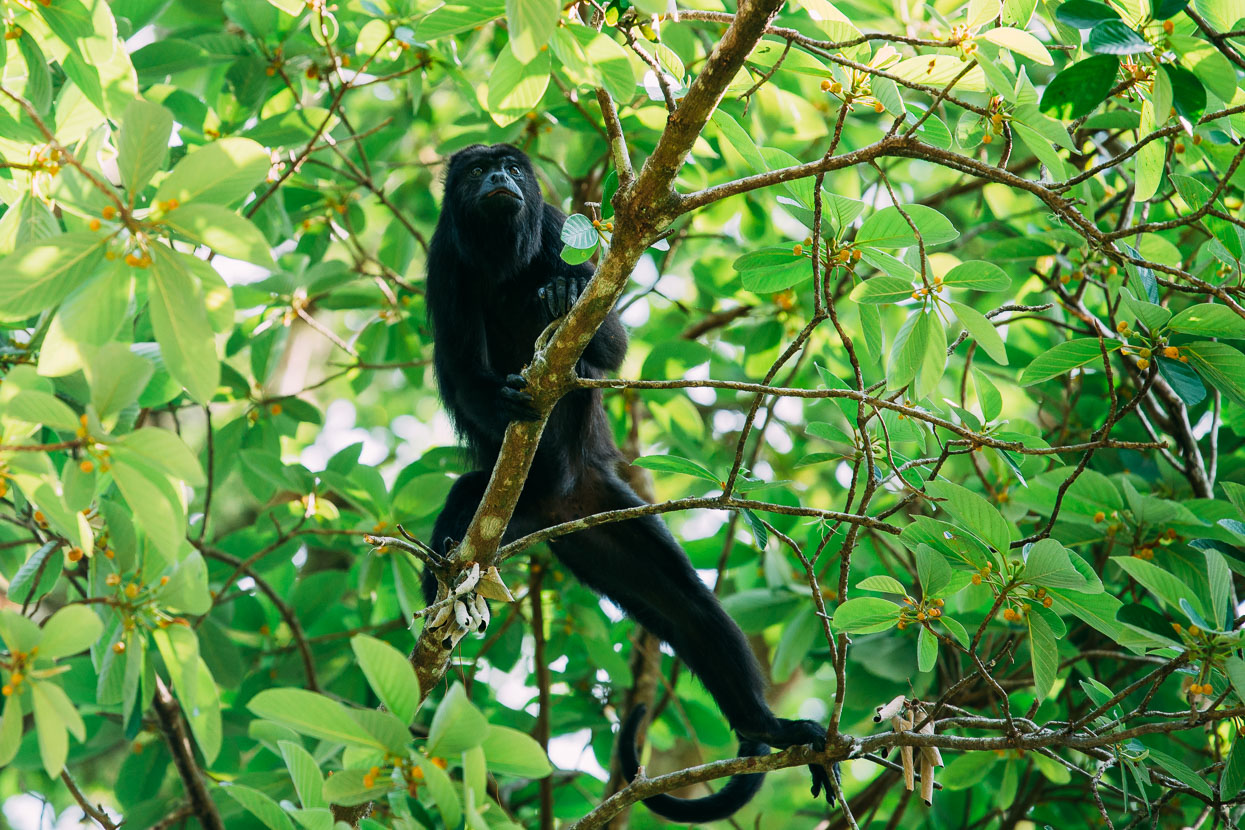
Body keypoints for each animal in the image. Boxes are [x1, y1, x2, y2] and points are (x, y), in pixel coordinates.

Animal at [423, 144, 831, 826]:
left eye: (512, 167)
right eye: (479, 171)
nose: (500, 178)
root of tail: (552, 501)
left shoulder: (558, 231)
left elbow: (608, 346)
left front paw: (565, 295)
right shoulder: (442, 265)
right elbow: (458, 368)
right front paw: (503, 400)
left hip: (599, 501)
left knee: (690, 610)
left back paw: (765, 726)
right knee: (458, 509)